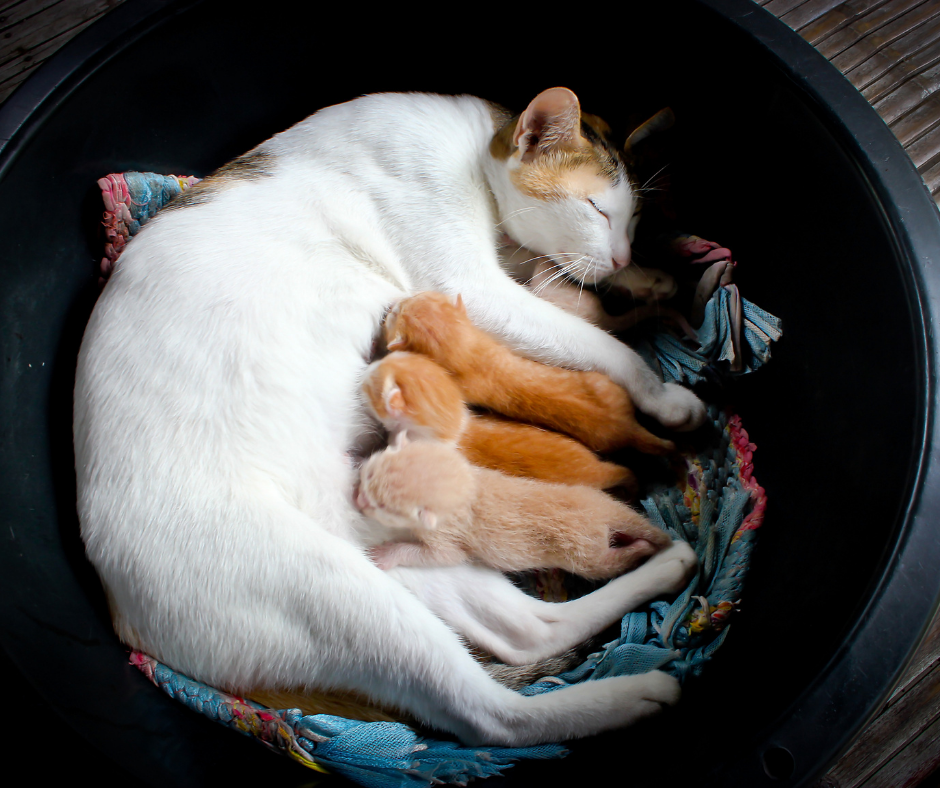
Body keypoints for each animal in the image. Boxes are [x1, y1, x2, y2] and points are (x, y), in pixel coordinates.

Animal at [356, 430, 672, 580]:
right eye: (370, 474)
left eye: (381, 506)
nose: (357, 499)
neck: (469, 487)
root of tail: (603, 513)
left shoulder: (446, 533)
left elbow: (445, 557)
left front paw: (385, 554)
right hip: (594, 497)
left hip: (586, 554)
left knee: (607, 563)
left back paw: (642, 548)